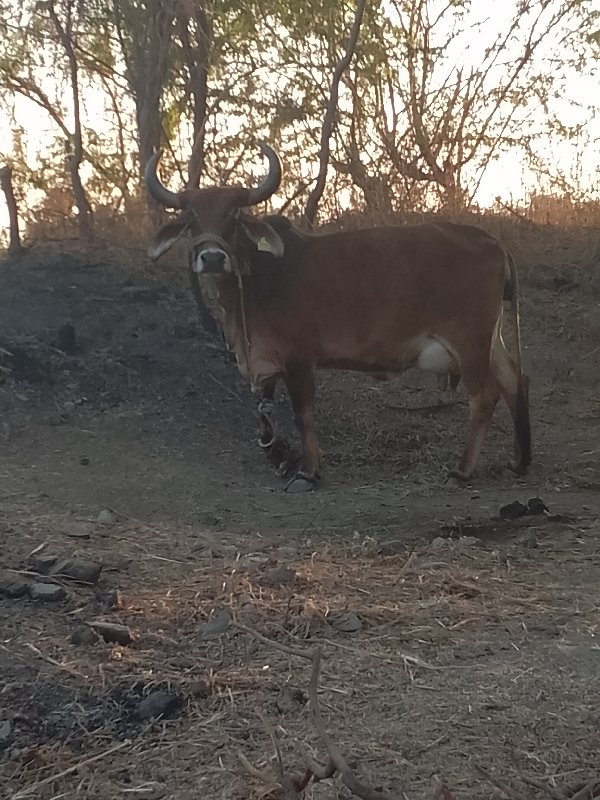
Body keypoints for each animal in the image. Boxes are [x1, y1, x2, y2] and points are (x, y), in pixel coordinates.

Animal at [144, 145, 528, 494]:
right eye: (191, 217)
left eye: (235, 213)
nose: (211, 258)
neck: (259, 280)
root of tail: (489, 240)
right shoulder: (263, 361)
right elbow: (264, 417)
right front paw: (281, 458)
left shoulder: (300, 358)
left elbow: (303, 415)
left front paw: (308, 472)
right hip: (489, 342)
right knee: (513, 380)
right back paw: (519, 460)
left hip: (470, 343)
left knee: (485, 396)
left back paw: (462, 471)